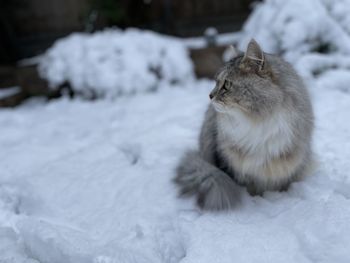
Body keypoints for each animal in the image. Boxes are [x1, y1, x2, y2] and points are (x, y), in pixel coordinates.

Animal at [175, 39, 314, 211]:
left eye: (227, 85)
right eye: (216, 82)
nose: (210, 95)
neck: (256, 122)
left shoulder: (289, 162)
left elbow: (283, 183)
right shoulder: (231, 161)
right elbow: (248, 186)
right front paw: (253, 200)